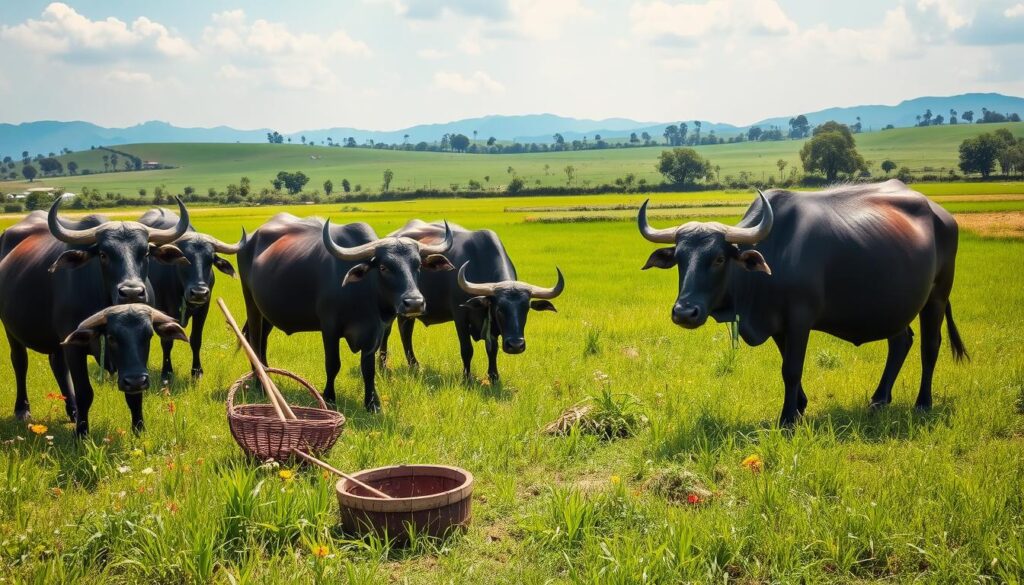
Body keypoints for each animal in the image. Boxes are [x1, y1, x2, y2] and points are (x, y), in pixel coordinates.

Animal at [0, 198, 190, 432]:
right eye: (103, 254)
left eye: (145, 252)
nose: (132, 292)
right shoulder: (75, 345)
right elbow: (84, 392)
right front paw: (81, 432)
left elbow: (134, 391)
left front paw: (139, 429)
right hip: (10, 328)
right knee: (20, 362)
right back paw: (23, 409)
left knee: (58, 365)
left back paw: (72, 411)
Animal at [138, 209, 241, 385]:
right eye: (184, 258)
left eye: (210, 260)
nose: (199, 292)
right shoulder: (163, 311)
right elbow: (167, 341)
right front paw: (167, 373)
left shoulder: (203, 309)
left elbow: (196, 339)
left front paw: (197, 371)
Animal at [237, 215, 454, 411]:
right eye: (384, 267)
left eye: (417, 265)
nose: (414, 303)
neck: (364, 292)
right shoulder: (329, 328)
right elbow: (333, 364)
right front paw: (329, 398)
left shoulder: (374, 332)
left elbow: (368, 369)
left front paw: (372, 403)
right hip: (251, 302)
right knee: (254, 340)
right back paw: (260, 385)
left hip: (267, 313)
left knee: (262, 342)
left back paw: (267, 377)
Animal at [380, 222, 565, 383]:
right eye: (500, 309)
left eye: (526, 309)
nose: (516, 345)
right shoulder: (460, 318)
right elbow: (467, 349)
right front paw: (466, 377)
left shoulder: (491, 324)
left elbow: (492, 349)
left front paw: (494, 376)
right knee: (387, 332)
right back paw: (384, 365)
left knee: (405, 332)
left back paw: (414, 366)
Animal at [638, 179, 966, 426]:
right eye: (680, 259)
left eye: (719, 258)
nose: (685, 312)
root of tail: (944, 217)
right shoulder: (776, 324)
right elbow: (786, 363)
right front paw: (798, 406)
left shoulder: (799, 319)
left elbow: (792, 368)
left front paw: (787, 418)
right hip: (893, 307)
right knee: (901, 342)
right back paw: (879, 399)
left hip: (937, 297)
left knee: (929, 346)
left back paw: (923, 403)